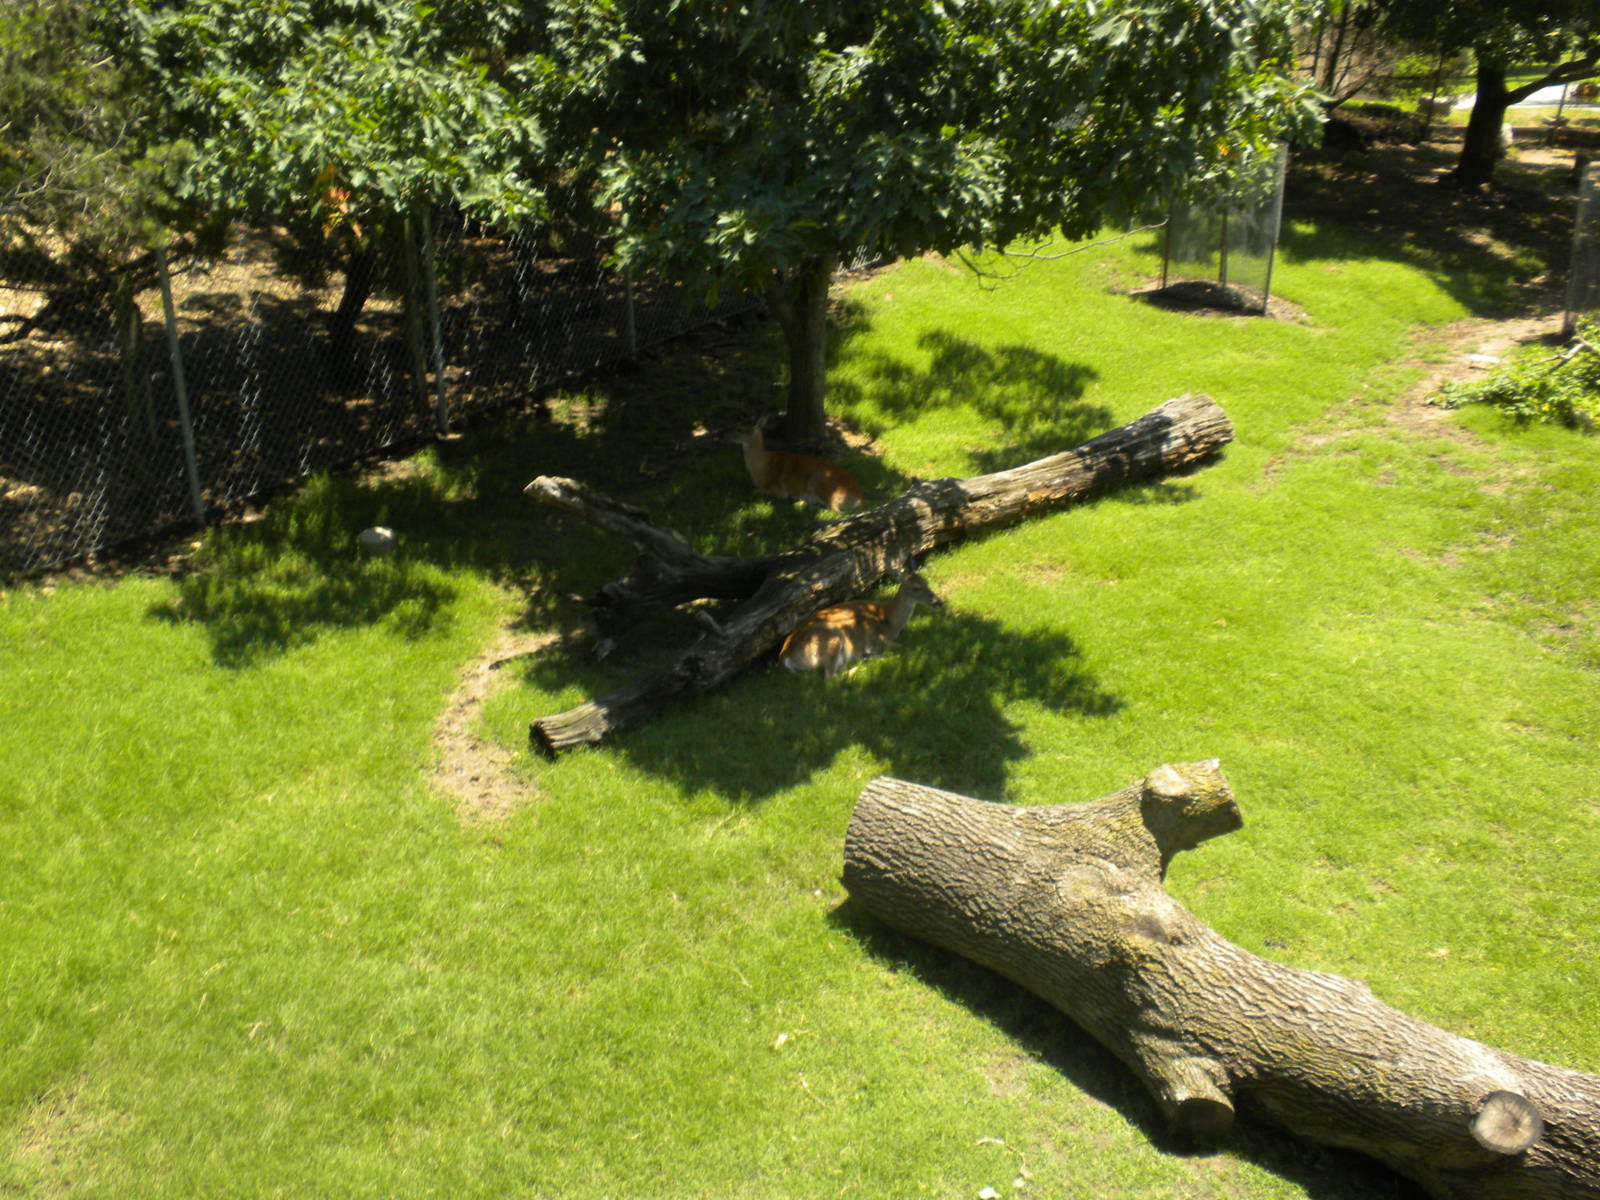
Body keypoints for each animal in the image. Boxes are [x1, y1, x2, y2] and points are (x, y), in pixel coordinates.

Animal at [779, 572, 942, 677]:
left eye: (926, 582)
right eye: (916, 587)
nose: (938, 602)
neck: (888, 619)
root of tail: (784, 657)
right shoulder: (876, 640)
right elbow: (904, 646)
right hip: (832, 638)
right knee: (831, 678)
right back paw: (862, 664)